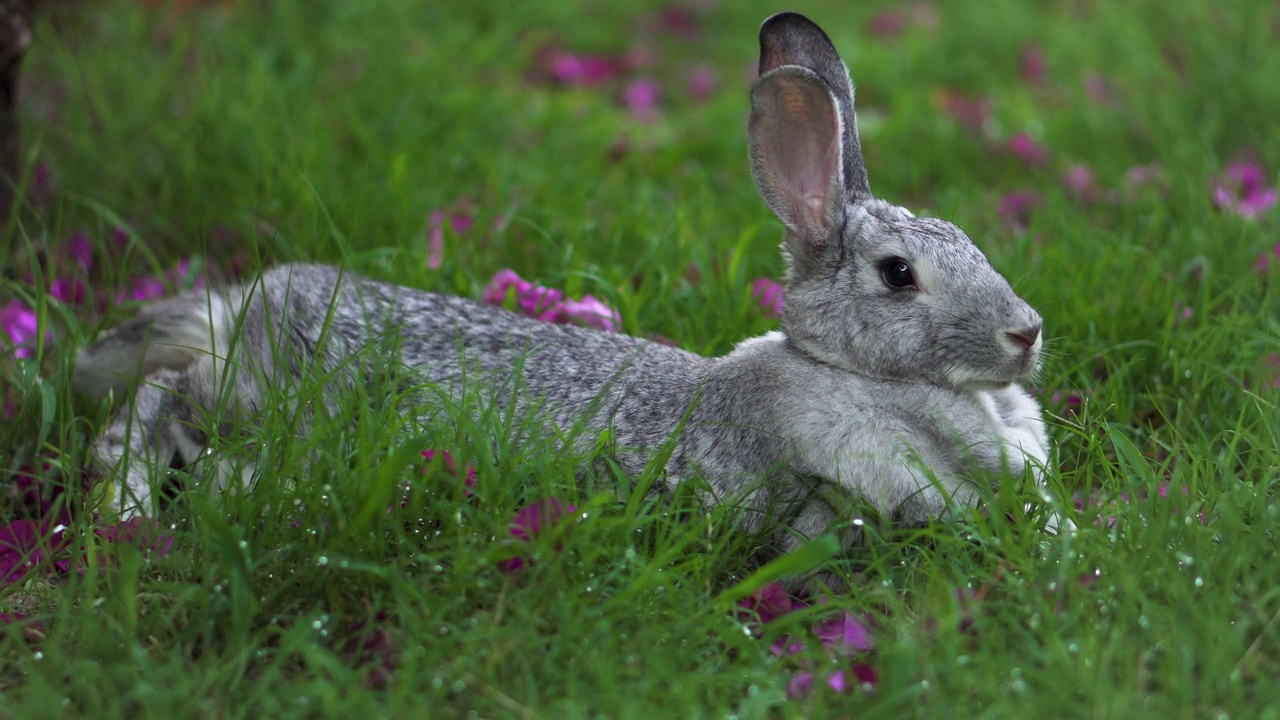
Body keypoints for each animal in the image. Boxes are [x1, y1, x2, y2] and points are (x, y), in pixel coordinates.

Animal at [72, 12, 1049, 556]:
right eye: (898, 274)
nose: (1027, 332)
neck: (846, 374)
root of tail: (250, 307)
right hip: (264, 406)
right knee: (155, 410)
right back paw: (125, 510)